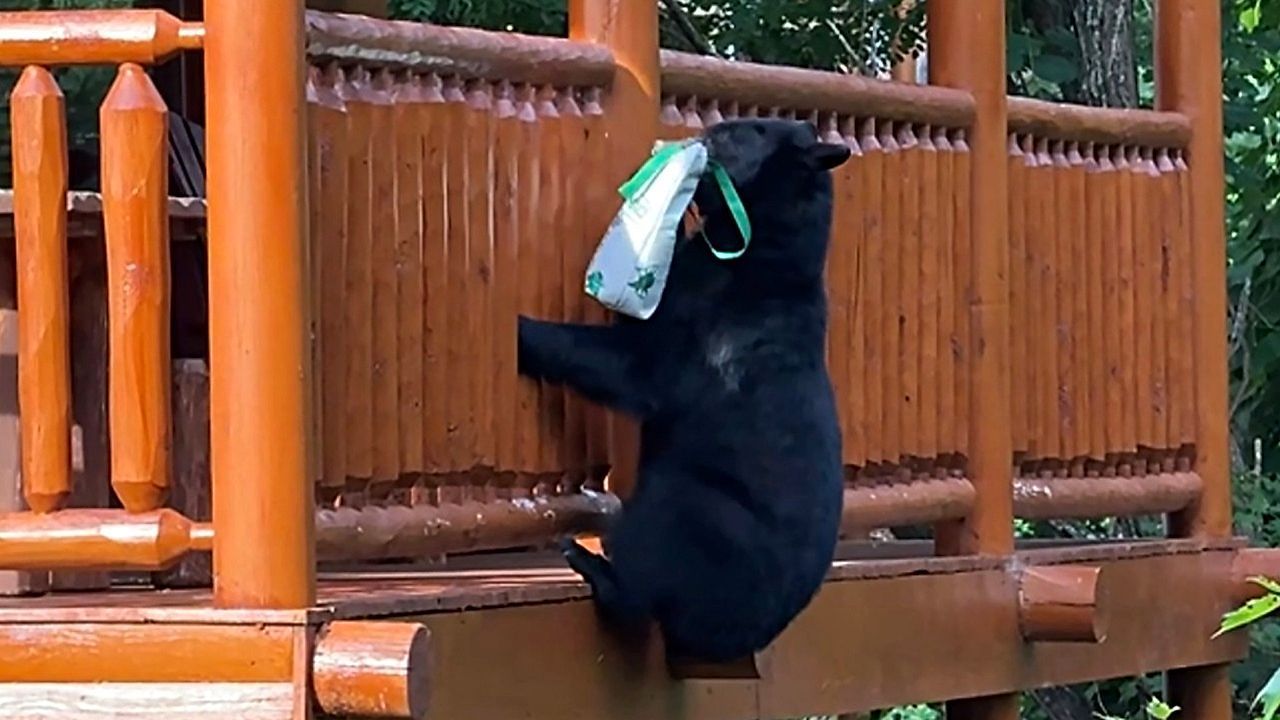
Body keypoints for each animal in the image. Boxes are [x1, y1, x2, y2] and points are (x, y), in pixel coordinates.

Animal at [517, 117, 851, 663]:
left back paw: (590, 563)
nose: (706, 130)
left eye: (747, 131)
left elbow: (625, 365)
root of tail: (747, 635)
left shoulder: (690, 338)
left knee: (642, 587)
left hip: (694, 510)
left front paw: (522, 333)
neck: (759, 257)